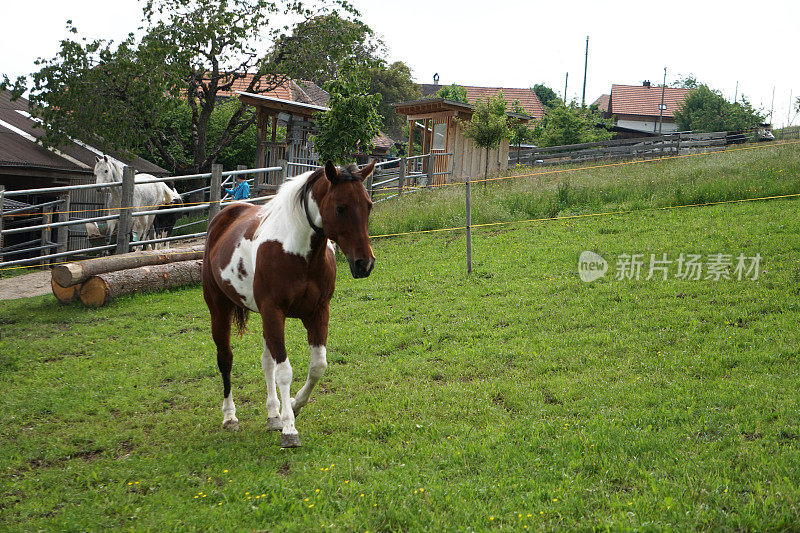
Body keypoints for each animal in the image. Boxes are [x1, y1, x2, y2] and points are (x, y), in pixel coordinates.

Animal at [200, 160, 376, 446]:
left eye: (368, 205)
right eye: (340, 207)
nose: (365, 264)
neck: (298, 254)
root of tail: (223, 218)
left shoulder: (317, 313)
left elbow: (317, 366)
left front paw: (291, 406)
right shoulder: (274, 312)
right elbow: (284, 371)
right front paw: (290, 429)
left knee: (267, 362)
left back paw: (273, 414)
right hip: (219, 310)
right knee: (225, 359)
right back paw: (230, 416)